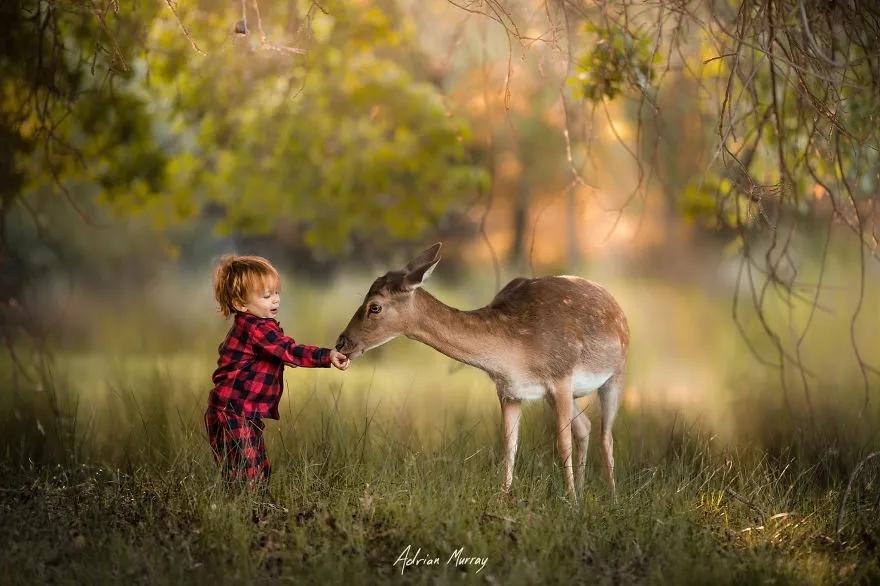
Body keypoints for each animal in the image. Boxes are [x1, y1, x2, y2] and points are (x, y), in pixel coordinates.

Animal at [334, 242, 628, 498]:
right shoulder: (510, 391)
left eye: (374, 306)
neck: (516, 353)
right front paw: (503, 501)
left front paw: (571, 503)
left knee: (606, 435)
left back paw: (611, 497)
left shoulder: (561, 377)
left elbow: (562, 443)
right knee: (586, 426)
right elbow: (509, 446)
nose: (342, 342)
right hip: (563, 396)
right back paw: (584, 489)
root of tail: (615, 303)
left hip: (616, 374)